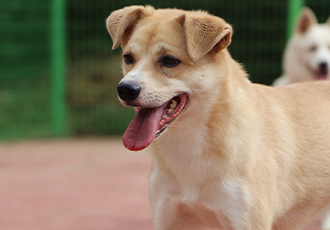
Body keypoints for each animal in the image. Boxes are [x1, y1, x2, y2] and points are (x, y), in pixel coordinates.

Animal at [107, 5, 330, 230]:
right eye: (128, 58)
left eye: (169, 60)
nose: (125, 90)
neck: (190, 148)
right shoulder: (168, 219)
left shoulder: (248, 222)